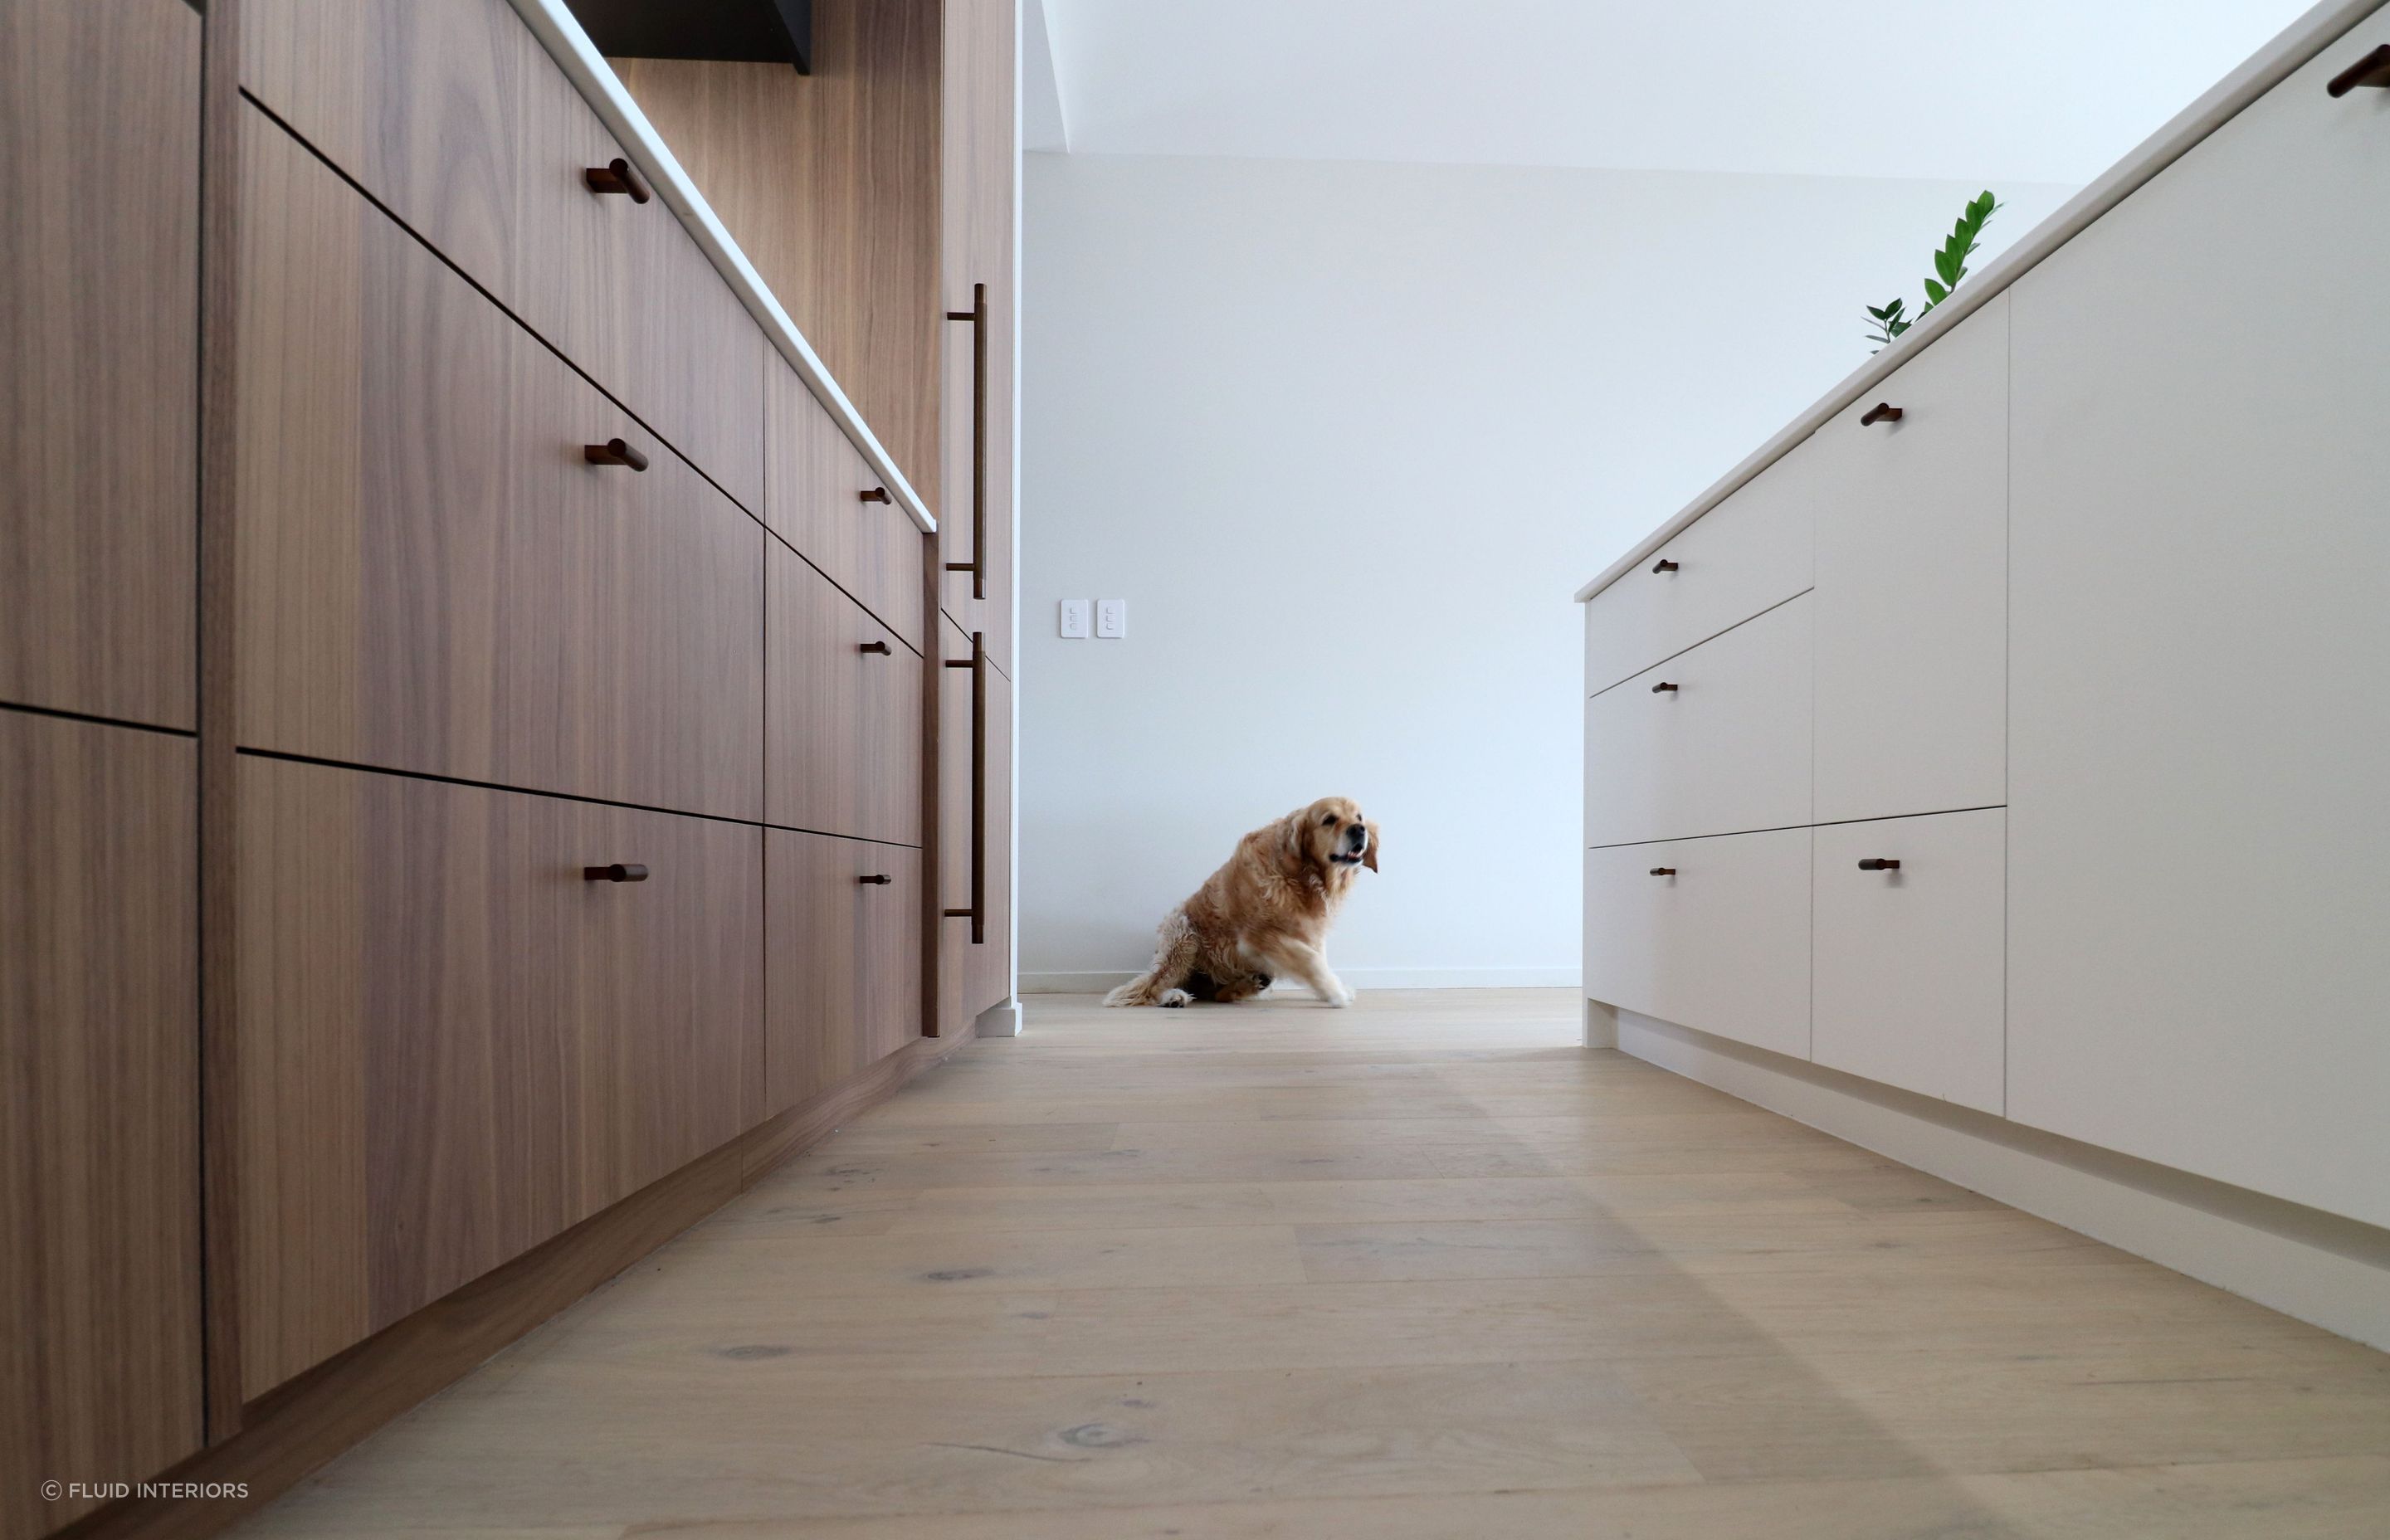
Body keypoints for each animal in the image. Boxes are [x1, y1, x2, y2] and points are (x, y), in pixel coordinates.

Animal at [1104, 793, 1386, 1009]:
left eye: (1359, 818)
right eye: (1329, 820)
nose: (1358, 830)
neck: (1301, 875)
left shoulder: (1311, 931)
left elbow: (1318, 958)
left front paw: (1337, 987)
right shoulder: (1259, 936)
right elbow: (1311, 962)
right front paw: (1335, 993)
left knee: (1218, 994)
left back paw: (1249, 985)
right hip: (1183, 936)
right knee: (1154, 986)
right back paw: (1174, 996)